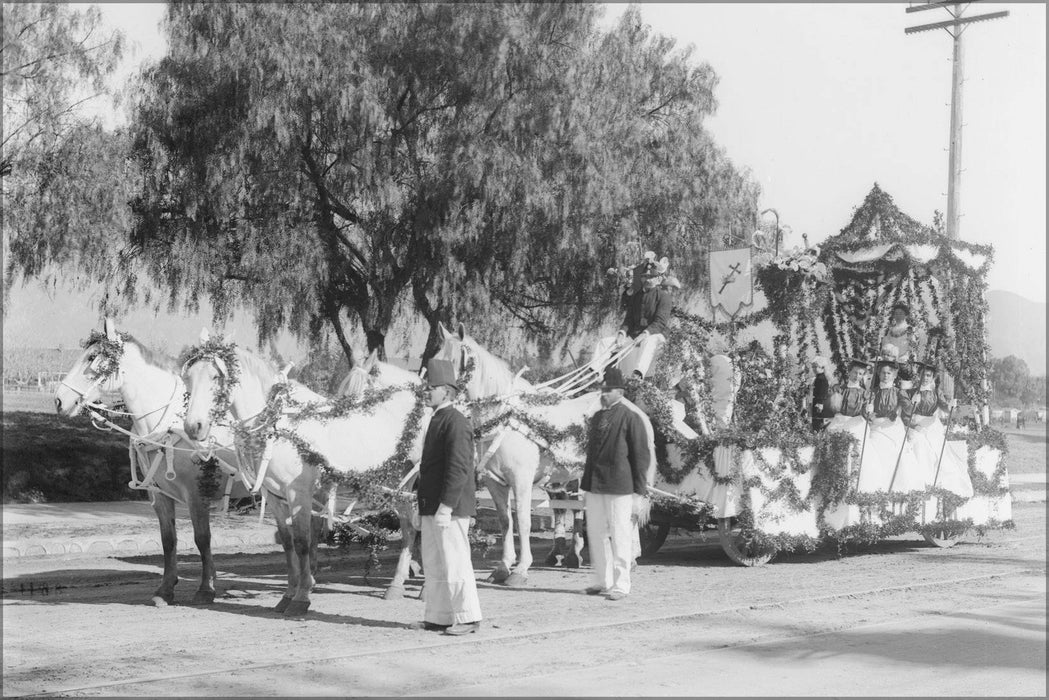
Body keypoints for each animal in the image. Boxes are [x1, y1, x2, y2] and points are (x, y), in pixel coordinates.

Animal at [55, 321, 241, 604]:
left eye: (91, 357)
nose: (59, 400)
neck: (171, 424)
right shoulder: (159, 493)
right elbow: (168, 540)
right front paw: (165, 590)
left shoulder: (197, 493)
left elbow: (202, 538)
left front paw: (205, 589)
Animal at [184, 342, 425, 617]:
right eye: (188, 377)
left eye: (216, 377)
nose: (193, 427)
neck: (278, 423)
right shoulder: (275, 496)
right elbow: (287, 543)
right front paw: (288, 594)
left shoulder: (299, 493)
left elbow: (302, 542)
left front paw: (301, 598)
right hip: (400, 483)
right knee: (409, 527)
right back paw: (396, 585)